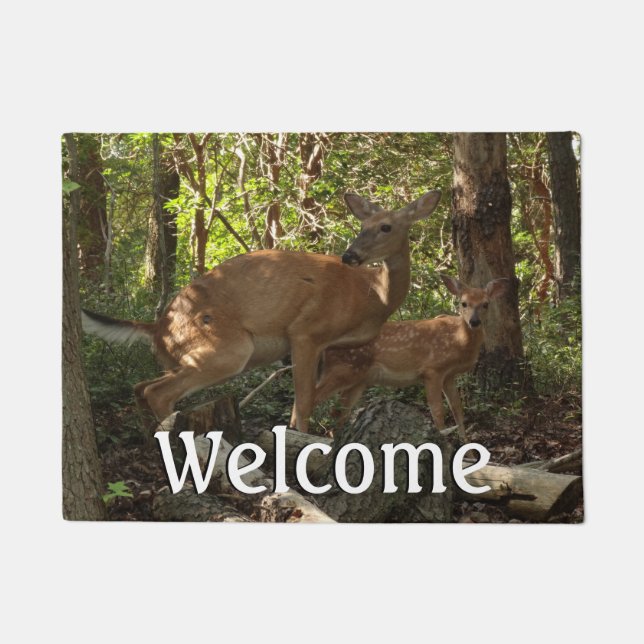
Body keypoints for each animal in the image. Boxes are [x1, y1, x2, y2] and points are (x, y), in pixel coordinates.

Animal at [81, 190, 442, 433]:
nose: (350, 255)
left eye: (386, 227)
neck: (373, 296)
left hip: (181, 356)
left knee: (140, 386)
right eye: (362, 224)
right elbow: (304, 401)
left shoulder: (326, 347)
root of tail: (157, 327)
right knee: (156, 392)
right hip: (228, 348)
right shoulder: (306, 330)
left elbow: (309, 401)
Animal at [310, 274, 510, 440]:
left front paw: (468, 451)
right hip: (342, 369)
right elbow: (438, 411)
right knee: (312, 398)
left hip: (357, 380)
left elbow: (457, 410)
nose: (474, 322)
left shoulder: (449, 375)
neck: (458, 340)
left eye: (485, 304)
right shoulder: (432, 370)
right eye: (463, 303)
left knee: (338, 414)